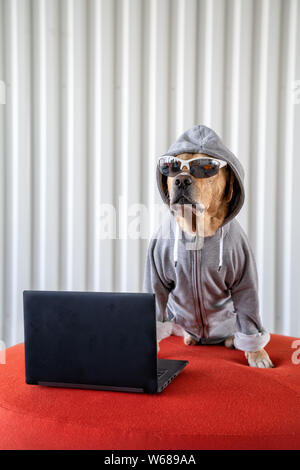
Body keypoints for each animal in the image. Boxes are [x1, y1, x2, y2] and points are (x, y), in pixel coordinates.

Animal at [144, 125, 274, 368]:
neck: (197, 233)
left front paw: (257, 354)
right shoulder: (155, 275)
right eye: (172, 166)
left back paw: (232, 340)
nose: (182, 180)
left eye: (205, 167)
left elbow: (249, 312)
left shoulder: (245, 278)